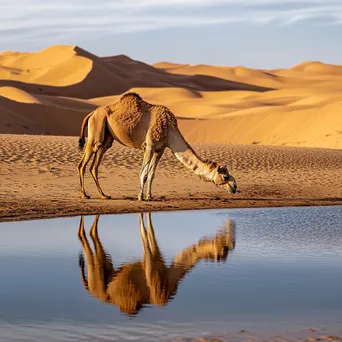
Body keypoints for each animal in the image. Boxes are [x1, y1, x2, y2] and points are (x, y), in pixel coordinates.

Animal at [77, 92, 236, 202]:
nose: (235, 187)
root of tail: (92, 113)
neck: (170, 131)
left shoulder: (161, 149)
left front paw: (150, 196)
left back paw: (104, 195)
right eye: (225, 176)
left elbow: (152, 174)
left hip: (107, 139)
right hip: (96, 131)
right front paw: (140, 197)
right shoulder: (150, 145)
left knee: (94, 165)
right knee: (82, 164)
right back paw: (85, 195)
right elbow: (144, 173)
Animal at [77, 214, 235, 316]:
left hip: (106, 272)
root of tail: (91, 290)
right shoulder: (153, 267)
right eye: (224, 249)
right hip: (97, 279)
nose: (232, 241)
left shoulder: (158, 261)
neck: (170, 277)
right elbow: (149, 235)